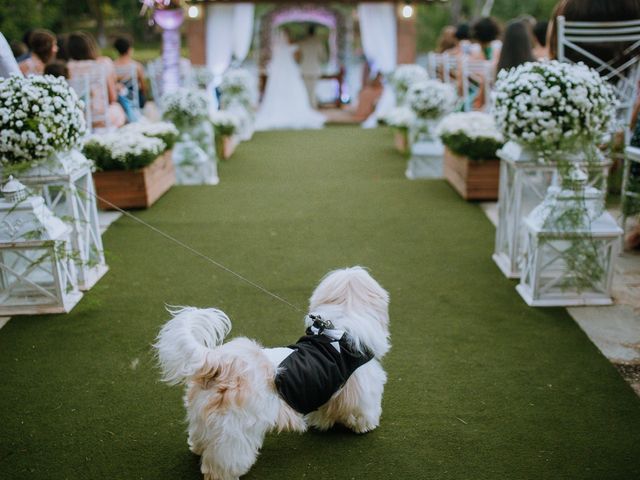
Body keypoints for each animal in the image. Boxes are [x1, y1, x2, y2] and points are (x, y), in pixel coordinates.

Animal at [155, 266, 390, 480]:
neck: (337, 332)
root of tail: (220, 363)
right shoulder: (359, 384)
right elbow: (363, 409)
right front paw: (365, 425)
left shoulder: (322, 385)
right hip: (234, 428)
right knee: (226, 455)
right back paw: (224, 473)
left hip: (203, 414)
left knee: (200, 435)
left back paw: (197, 449)